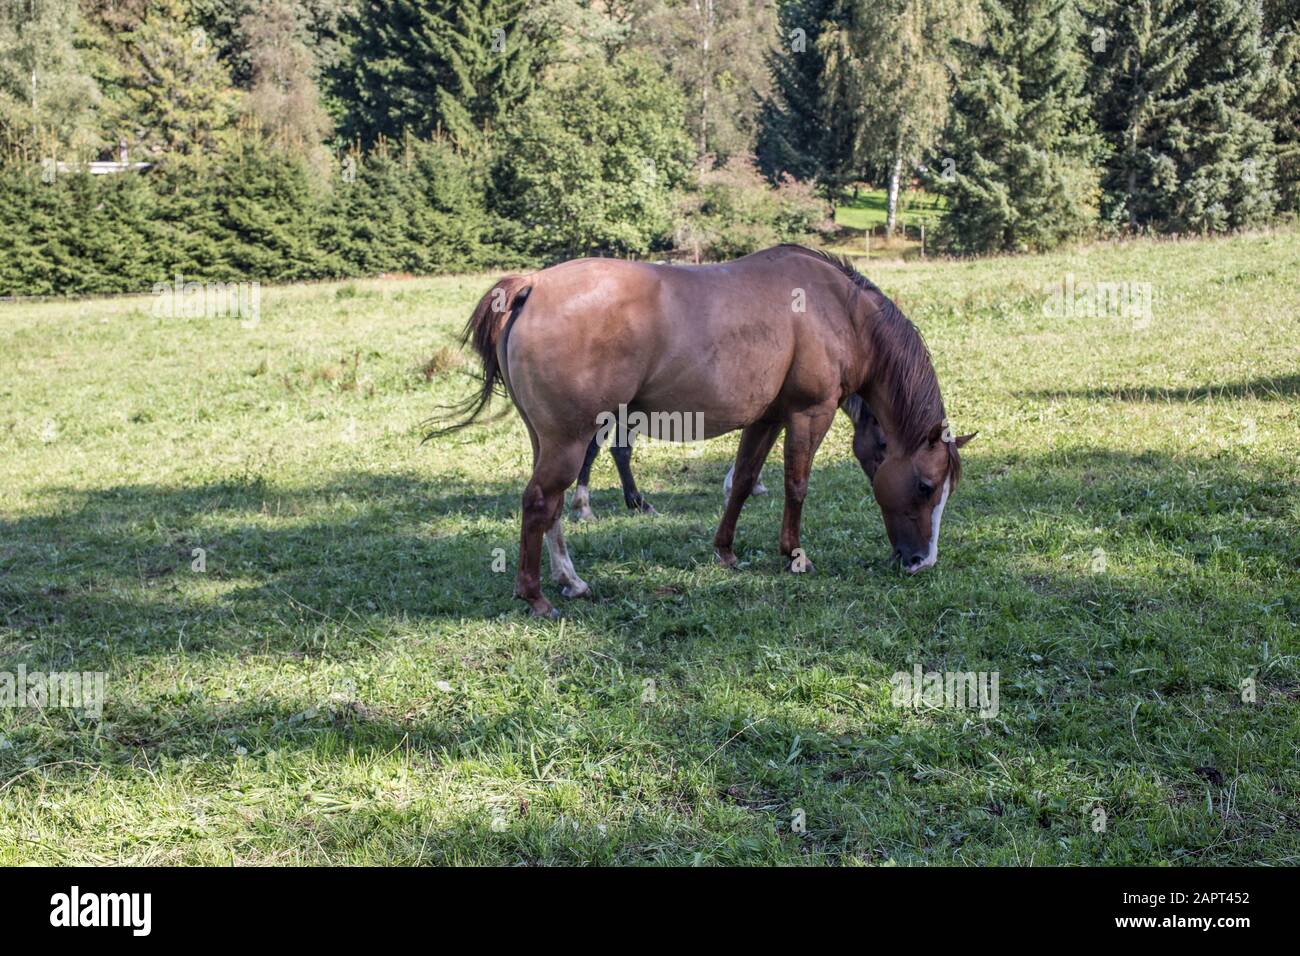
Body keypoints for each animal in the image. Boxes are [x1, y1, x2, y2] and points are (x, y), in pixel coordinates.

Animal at [439, 244, 977, 621]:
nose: (921, 562)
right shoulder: (809, 414)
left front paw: (725, 551)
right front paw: (794, 555)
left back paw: (570, 581)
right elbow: (797, 485)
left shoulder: (767, 418)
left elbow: (742, 482)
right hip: (570, 439)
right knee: (539, 504)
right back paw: (536, 596)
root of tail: (530, 285)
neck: (841, 311)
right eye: (926, 486)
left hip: (550, 439)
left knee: (550, 509)